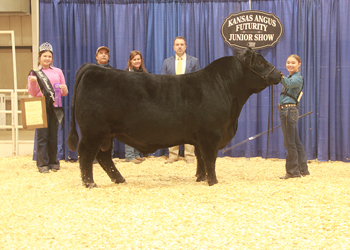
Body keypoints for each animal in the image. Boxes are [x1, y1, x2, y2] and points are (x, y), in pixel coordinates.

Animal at [67, 47, 282, 188]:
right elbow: (209, 158)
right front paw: (213, 181)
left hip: (106, 134)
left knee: (103, 157)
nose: (279, 74)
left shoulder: (199, 137)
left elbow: (200, 158)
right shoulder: (210, 135)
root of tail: (93, 68)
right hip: (93, 131)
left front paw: (200, 178)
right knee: (86, 154)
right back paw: (90, 183)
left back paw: (118, 179)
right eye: (260, 62)